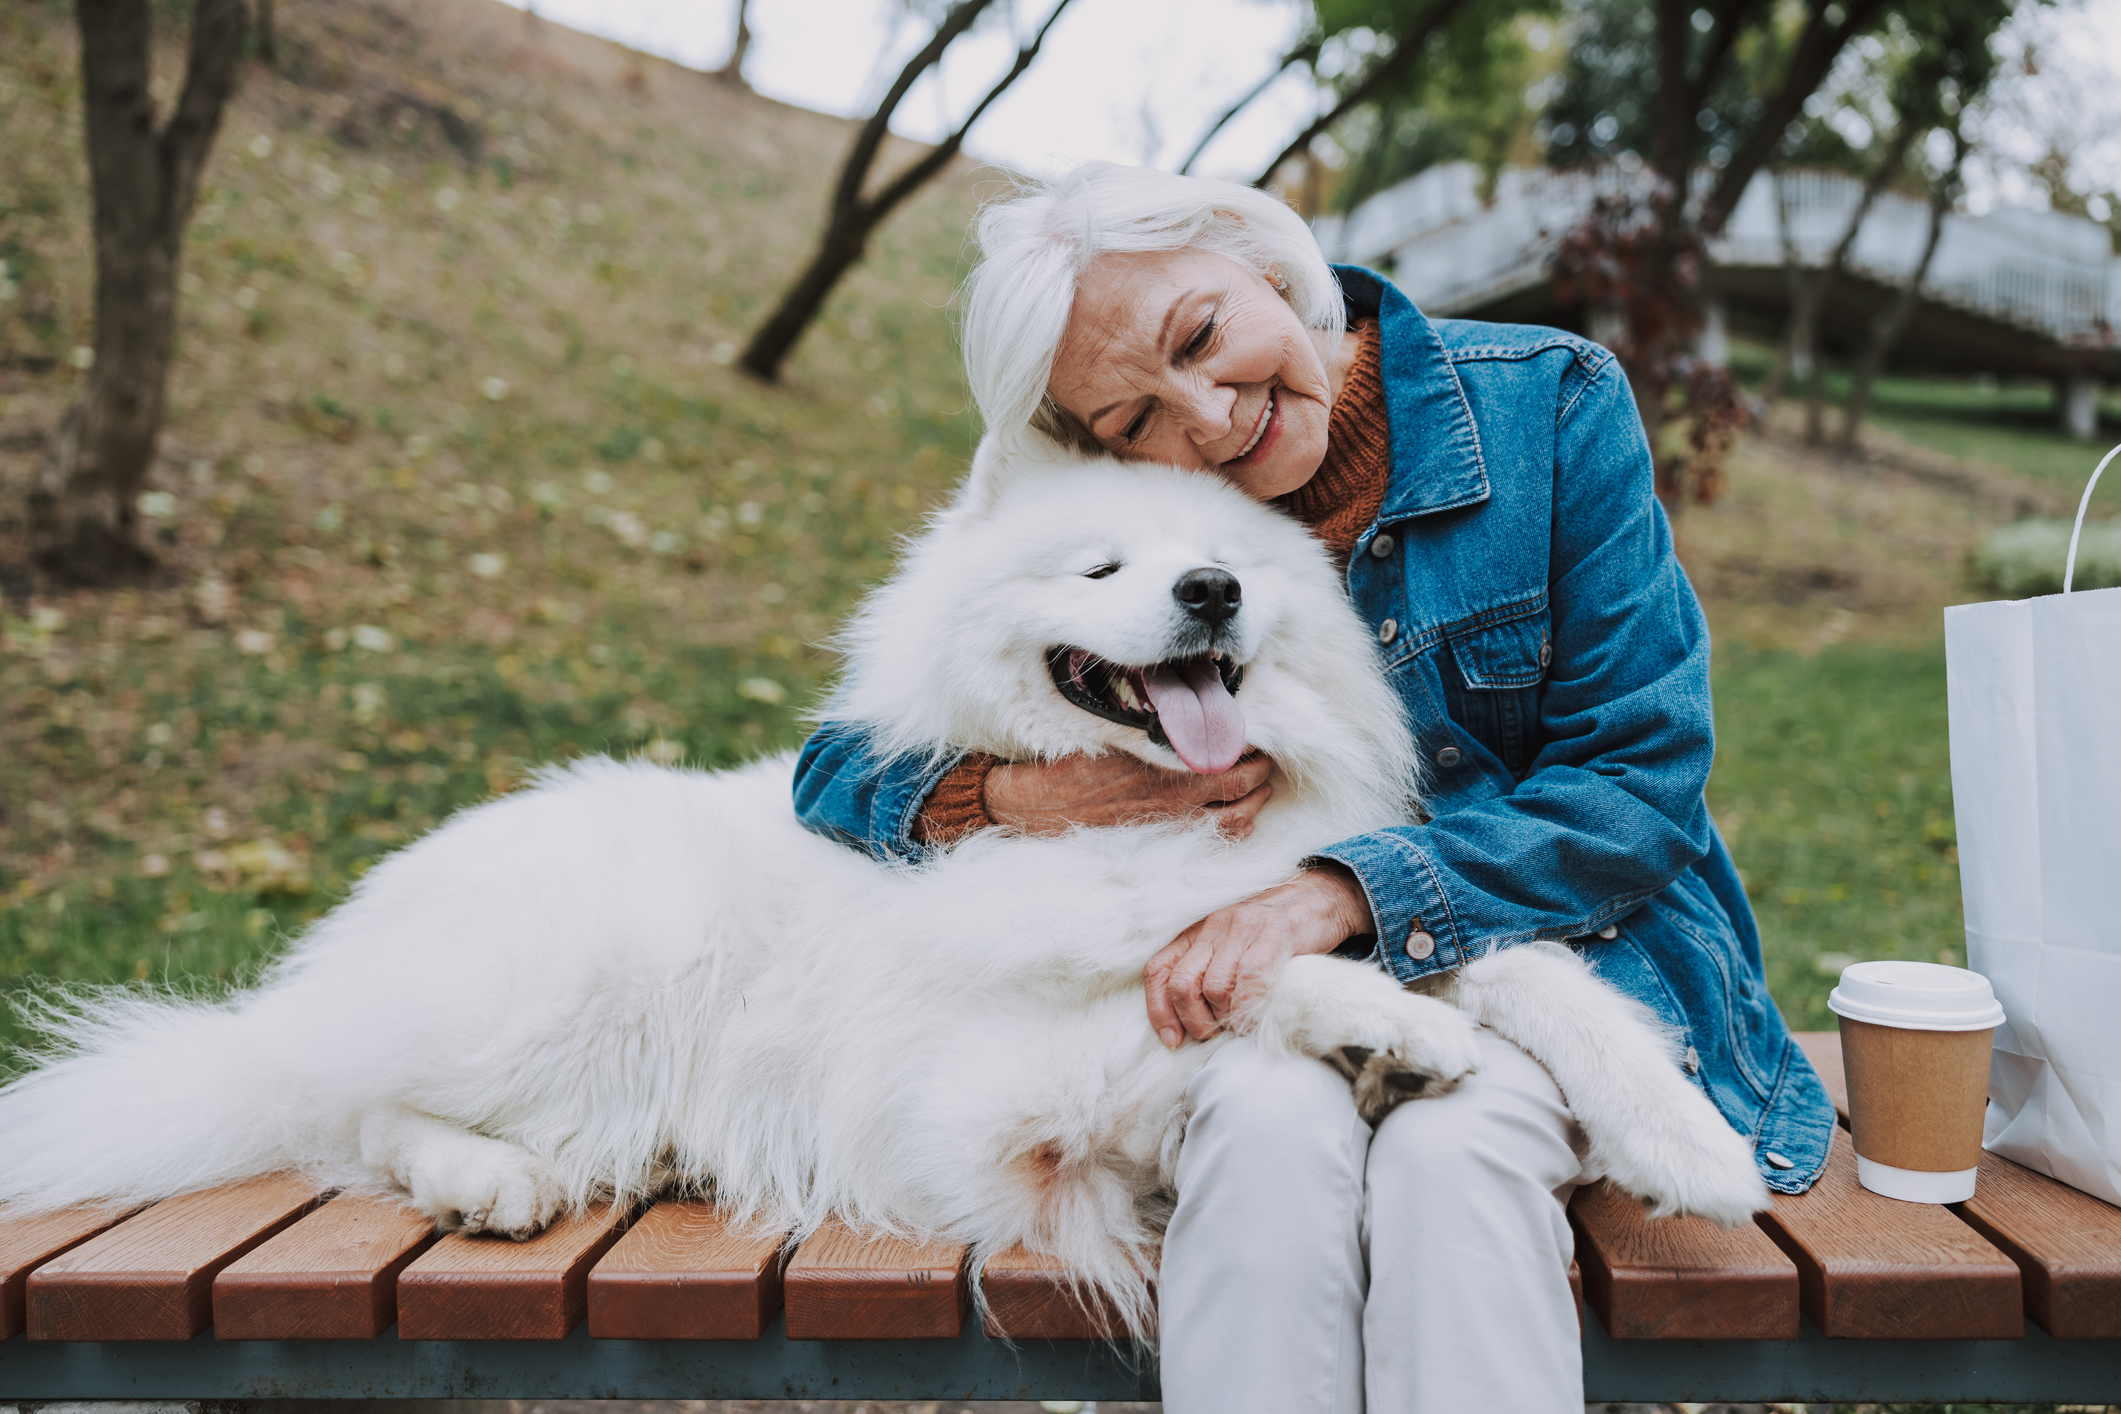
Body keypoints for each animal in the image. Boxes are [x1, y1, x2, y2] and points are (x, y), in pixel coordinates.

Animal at [0, 445, 1764, 1339]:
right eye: (1102, 569)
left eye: (1231, 570)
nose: (1210, 589)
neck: (1151, 821)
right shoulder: (988, 1093)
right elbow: (1222, 982)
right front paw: (1384, 1029)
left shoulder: (1346, 890)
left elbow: (1519, 965)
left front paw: (1688, 1139)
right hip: (570, 986)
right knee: (338, 1107)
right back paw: (480, 1178)